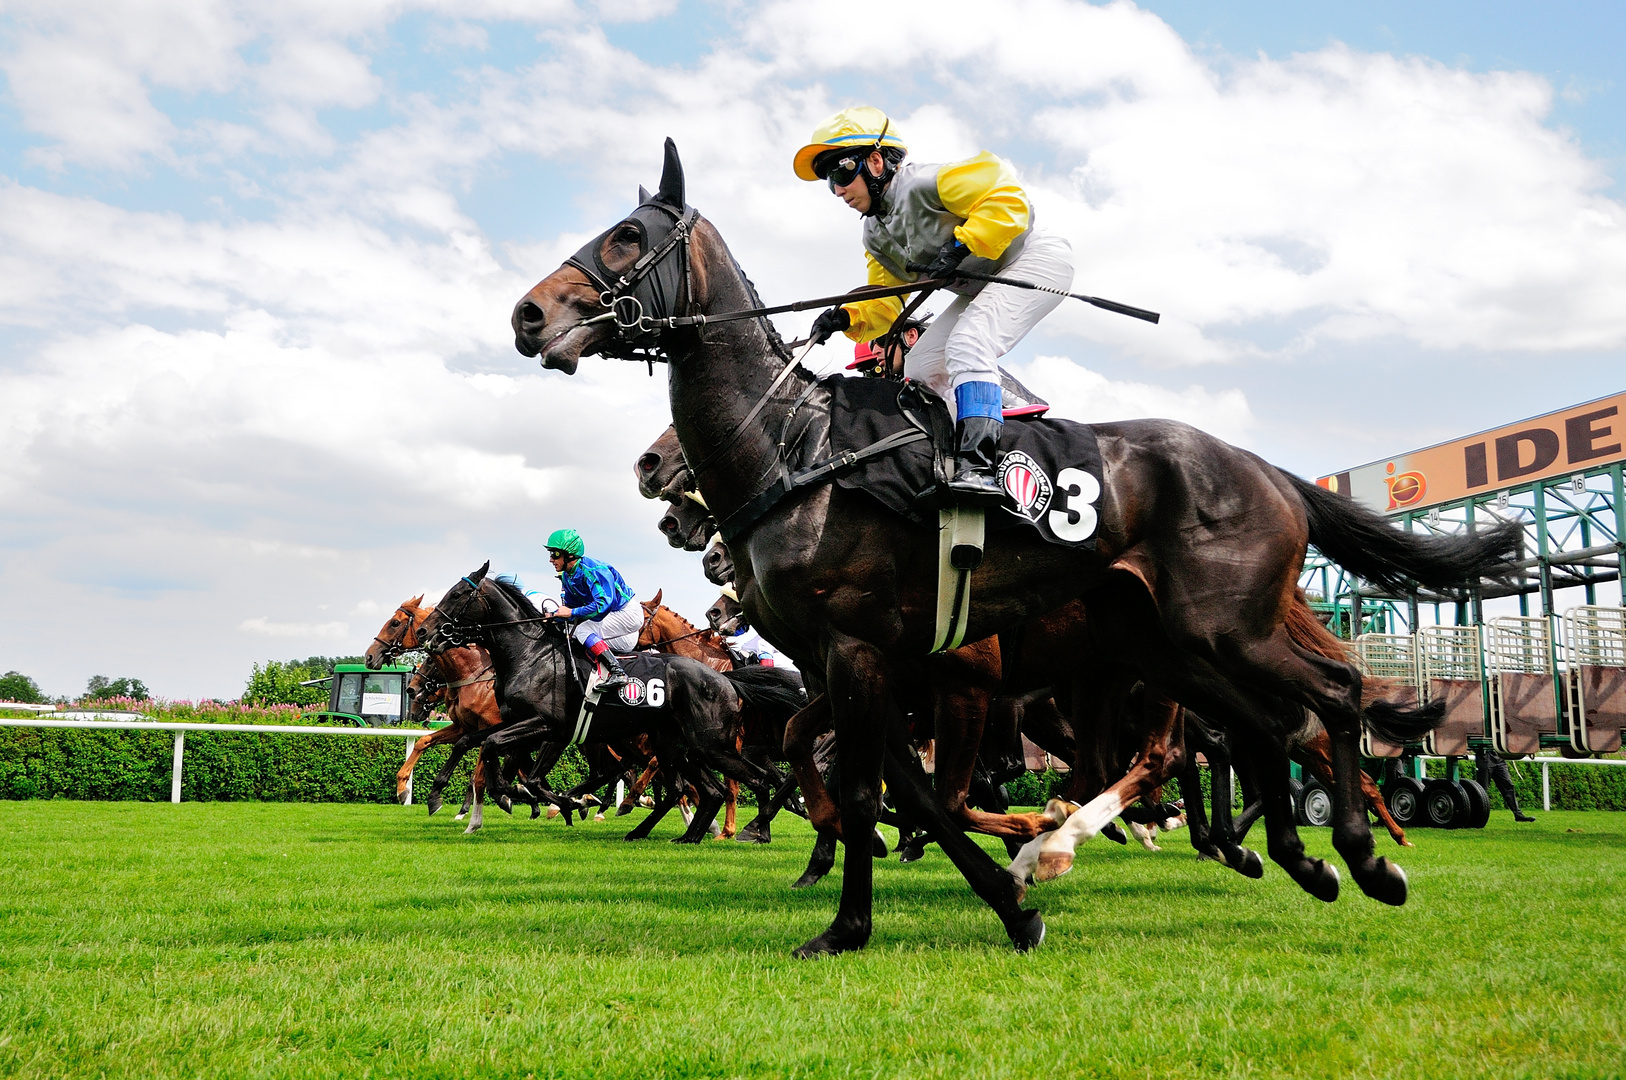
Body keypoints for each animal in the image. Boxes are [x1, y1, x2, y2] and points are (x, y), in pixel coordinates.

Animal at [513, 141, 1515, 956]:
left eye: (627, 238)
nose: (527, 315)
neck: (800, 449)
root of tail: (1264, 467)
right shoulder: (863, 664)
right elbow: (902, 789)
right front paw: (996, 900)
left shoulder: (877, 654)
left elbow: (886, 792)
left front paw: (858, 923)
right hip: (1173, 645)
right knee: (1263, 725)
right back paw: (1288, 858)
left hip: (1225, 627)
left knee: (1329, 695)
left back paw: (1358, 855)